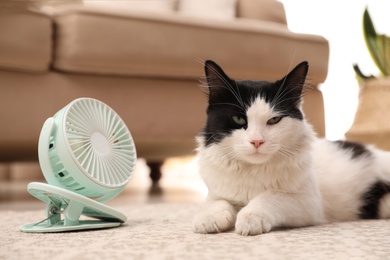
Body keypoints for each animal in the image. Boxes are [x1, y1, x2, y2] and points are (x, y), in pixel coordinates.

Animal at [191, 60, 390, 236]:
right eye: (238, 119)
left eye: (274, 120)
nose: (257, 141)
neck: (254, 172)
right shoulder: (216, 192)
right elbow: (217, 202)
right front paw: (208, 218)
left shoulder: (309, 203)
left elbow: (270, 197)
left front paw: (250, 217)